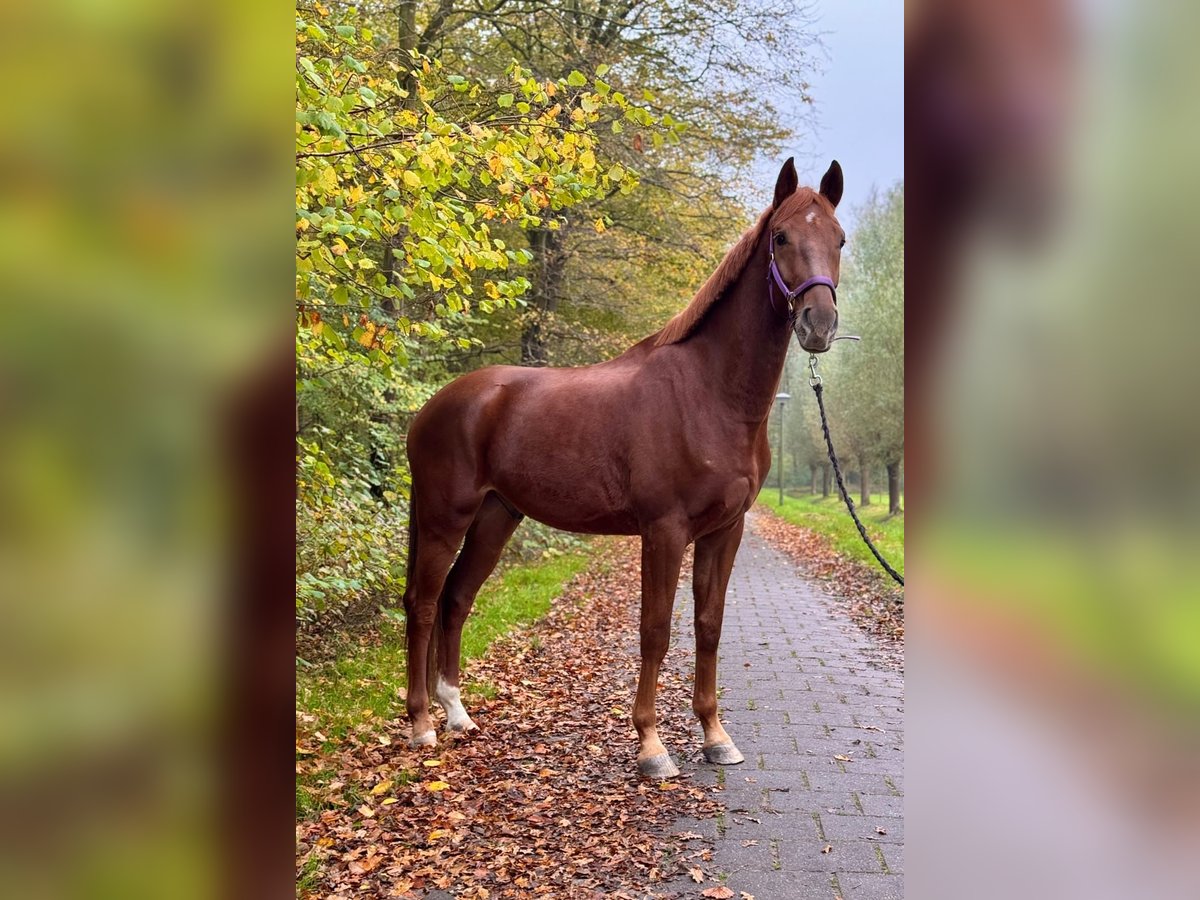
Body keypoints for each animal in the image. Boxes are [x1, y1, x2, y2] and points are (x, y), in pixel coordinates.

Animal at [403, 158, 844, 777]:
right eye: (781, 237)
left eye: (839, 239)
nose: (818, 324)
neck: (708, 393)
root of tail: (432, 406)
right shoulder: (665, 531)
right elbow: (655, 631)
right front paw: (652, 748)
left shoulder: (724, 531)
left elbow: (708, 627)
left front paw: (715, 737)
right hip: (446, 518)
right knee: (422, 604)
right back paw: (422, 725)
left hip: (495, 517)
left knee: (456, 599)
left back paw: (457, 715)